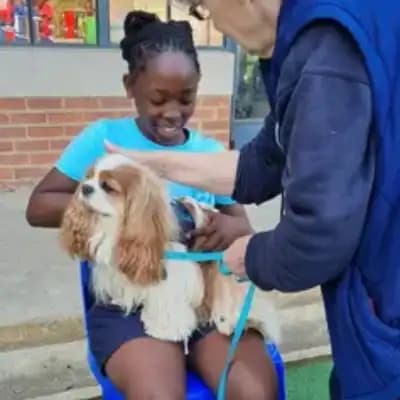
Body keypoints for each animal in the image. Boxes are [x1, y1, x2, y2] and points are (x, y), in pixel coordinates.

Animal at [60, 155, 278, 346]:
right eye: (88, 178)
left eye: (108, 187)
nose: (85, 188)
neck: (116, 227)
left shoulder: (175, 270)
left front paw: (165, 330)